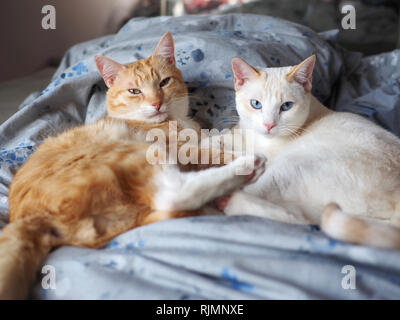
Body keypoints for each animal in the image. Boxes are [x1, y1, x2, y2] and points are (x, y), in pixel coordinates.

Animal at [0, 33, 264, 300]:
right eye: (134, 91)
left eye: (164, 82)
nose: (157, 103)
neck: (176, 122)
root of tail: (33, 219)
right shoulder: (178, 150)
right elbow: (209, 152)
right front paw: (244, 151)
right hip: (135, 154)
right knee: (175, 195)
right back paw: (248, 167)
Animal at [217, 55, 400, 250]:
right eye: (256, 104)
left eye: (286, 106)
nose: (269, 125)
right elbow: (222, 138)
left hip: (291, 165)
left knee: (294, 219)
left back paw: (226, 198)